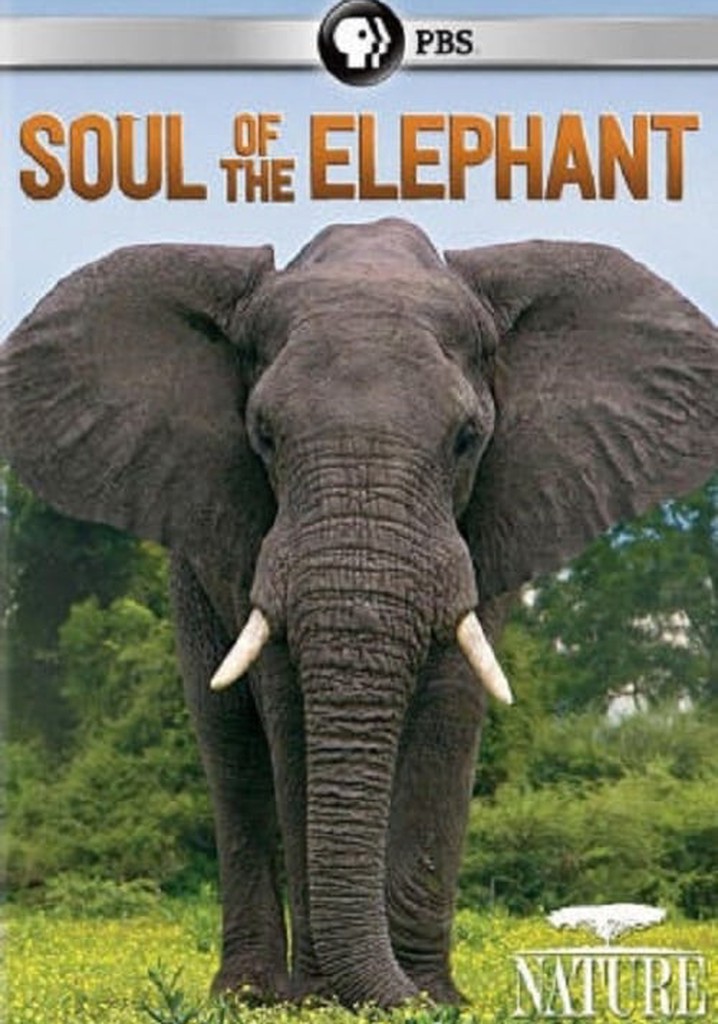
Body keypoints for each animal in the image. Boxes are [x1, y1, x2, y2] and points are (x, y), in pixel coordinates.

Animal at [1, 217, 717, 1009]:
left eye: (467, 439)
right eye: (264, 435)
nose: (398, 994)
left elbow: (449, 711)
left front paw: (431, 1000)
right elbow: (288, 716)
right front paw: (323, 999)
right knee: (231, 749)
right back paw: (246, 995)